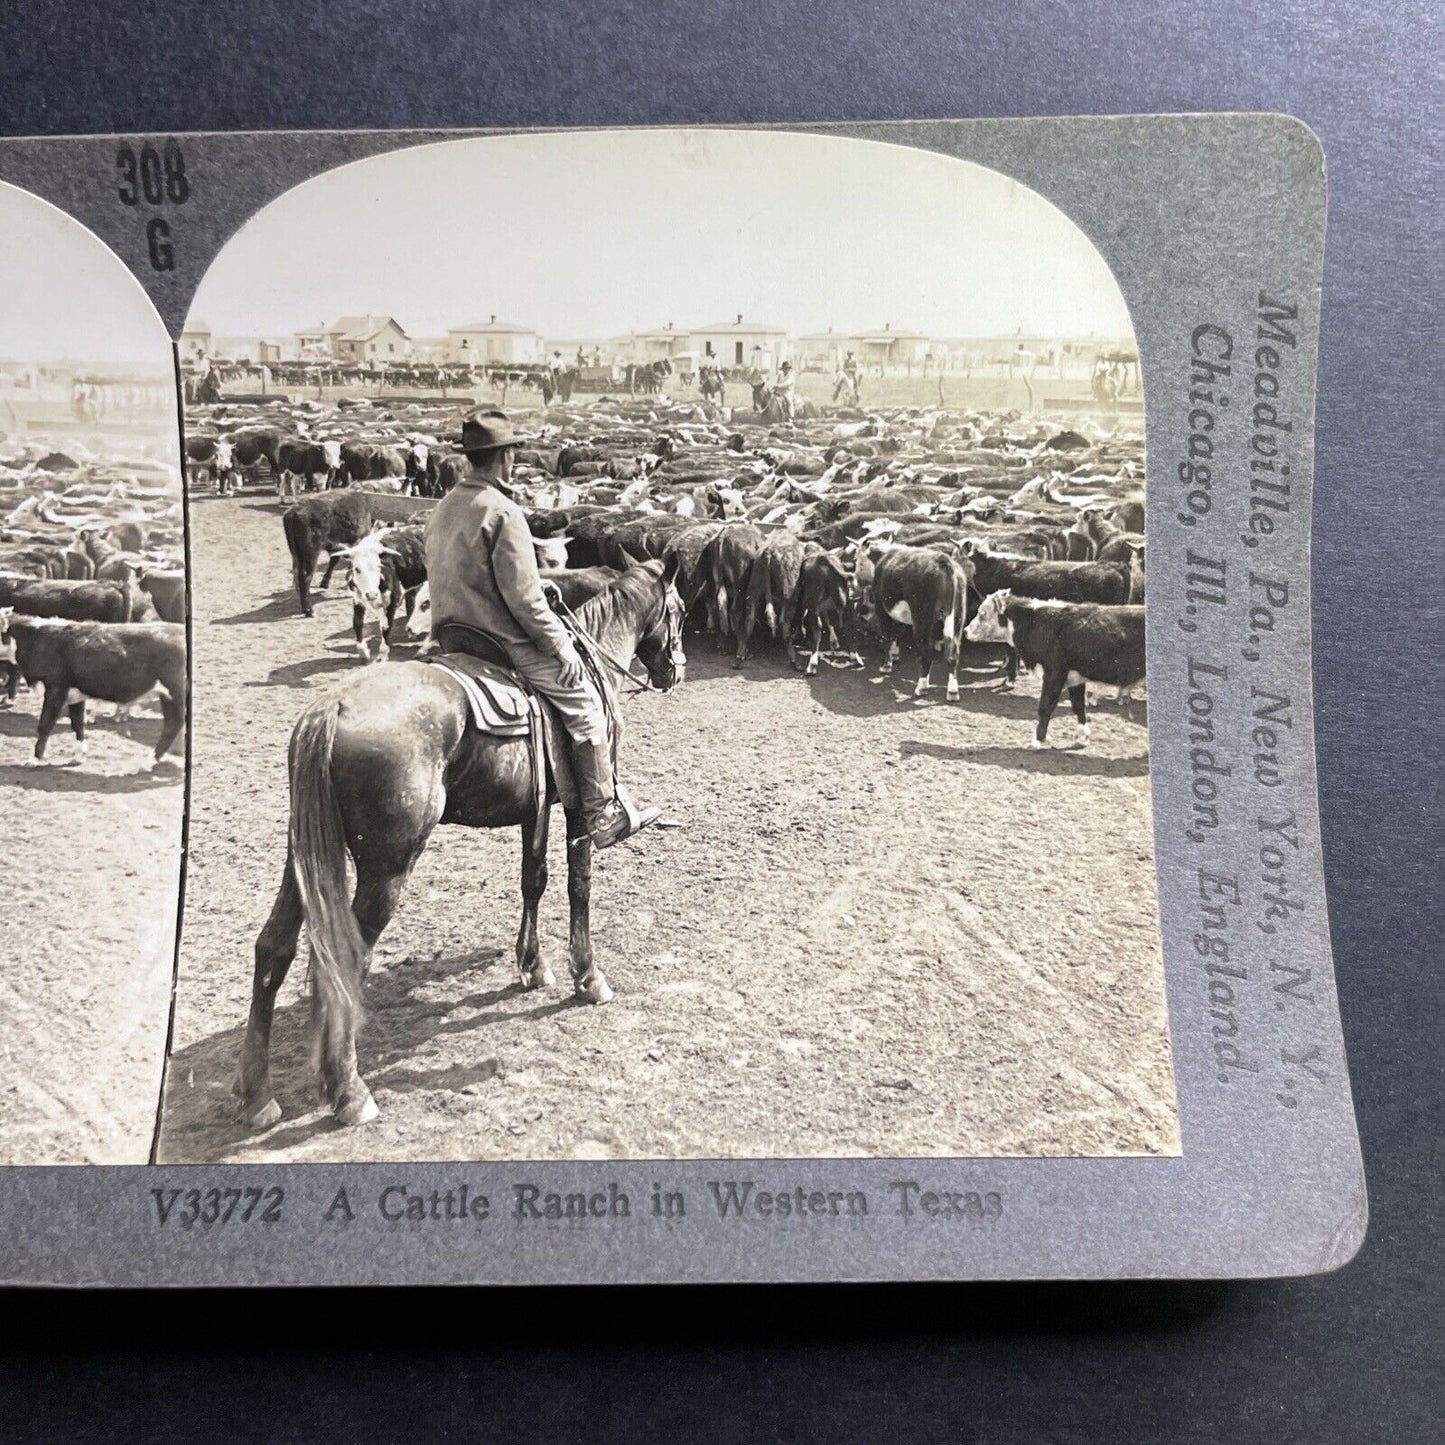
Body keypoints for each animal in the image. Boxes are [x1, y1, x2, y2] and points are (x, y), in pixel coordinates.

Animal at [0, 609, 187, 768]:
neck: (38, 639)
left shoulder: (56, 689)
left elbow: (45, 725)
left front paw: (34, 759)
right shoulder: (75, 694)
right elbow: (77, 724)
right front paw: (78, 756)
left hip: (175, 691)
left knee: (174, 723)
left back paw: (150, 760)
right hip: (167, 695)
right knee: (172, 724)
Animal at [234, 557, 684, 1132]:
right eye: (679, 609)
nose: (677, 669)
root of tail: (331, 709)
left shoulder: (535, 809)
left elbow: (533, 881)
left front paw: (532, 966)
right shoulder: (578, 808)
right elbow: (577, 887)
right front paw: (588, 978)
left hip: (302, 857)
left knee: (274, 948)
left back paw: (256, 1094)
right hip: (386, 868)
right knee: (342, 961)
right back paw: (349, 1091)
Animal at [281, 491, 433, 615]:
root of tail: (292, 512)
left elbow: (335, 561)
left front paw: (326, 582)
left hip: (297, 553)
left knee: (296, 570)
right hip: (311, 553)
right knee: (305, 575)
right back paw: (308, 610)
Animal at [867, 543, 971, 699]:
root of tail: (943, 560)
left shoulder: (881, 608)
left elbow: (887, 636)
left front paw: (886, 665)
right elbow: (897, 632)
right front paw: (895, 655)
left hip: (922, 618)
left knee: (927, 652)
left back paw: (921, 688)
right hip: (957, 617)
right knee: (953, 653)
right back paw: (952, 692)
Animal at [965, 589, 1144, 751]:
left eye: (982, 614)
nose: (965, 631)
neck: (1036, 623)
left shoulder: (1054, 673)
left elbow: (1045, 707)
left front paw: (1037, 741)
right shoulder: (1075, 678)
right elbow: (1078, 707)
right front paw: (1082, 738)